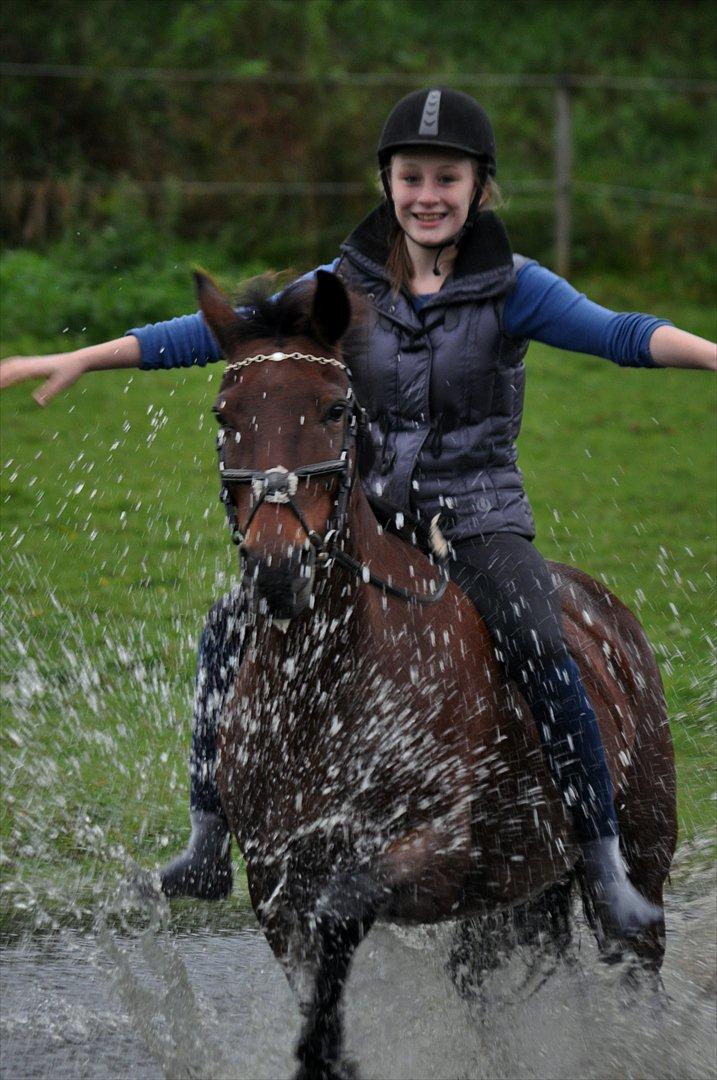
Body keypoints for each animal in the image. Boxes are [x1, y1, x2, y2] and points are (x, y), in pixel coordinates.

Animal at [197, 270, 678, 1080]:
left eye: (334, 408)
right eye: (224, 414)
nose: (276, 571)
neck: (324, 696)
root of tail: (612, 618)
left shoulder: (436, 854)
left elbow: (343, 911)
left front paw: (326, 1053)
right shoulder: (273, 881)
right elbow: (315, 963)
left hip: (641, 860)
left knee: (637, 978)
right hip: (501, 904)